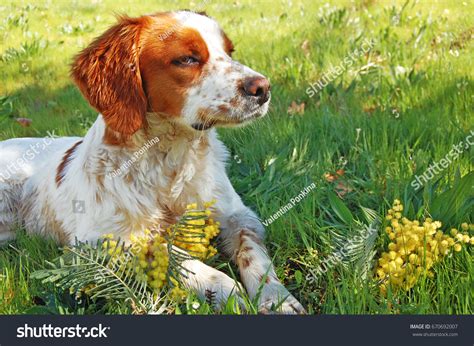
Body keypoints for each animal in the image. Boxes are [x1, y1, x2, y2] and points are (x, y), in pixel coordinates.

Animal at [0, 10, 304, 314]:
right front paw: (223, 288)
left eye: (229, 52)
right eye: (187, 59)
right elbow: (166, 251)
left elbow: (255, 253)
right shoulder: (97, 239)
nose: (263, 88)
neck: (172, 158)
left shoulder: (237, 215)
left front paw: (277, 297)